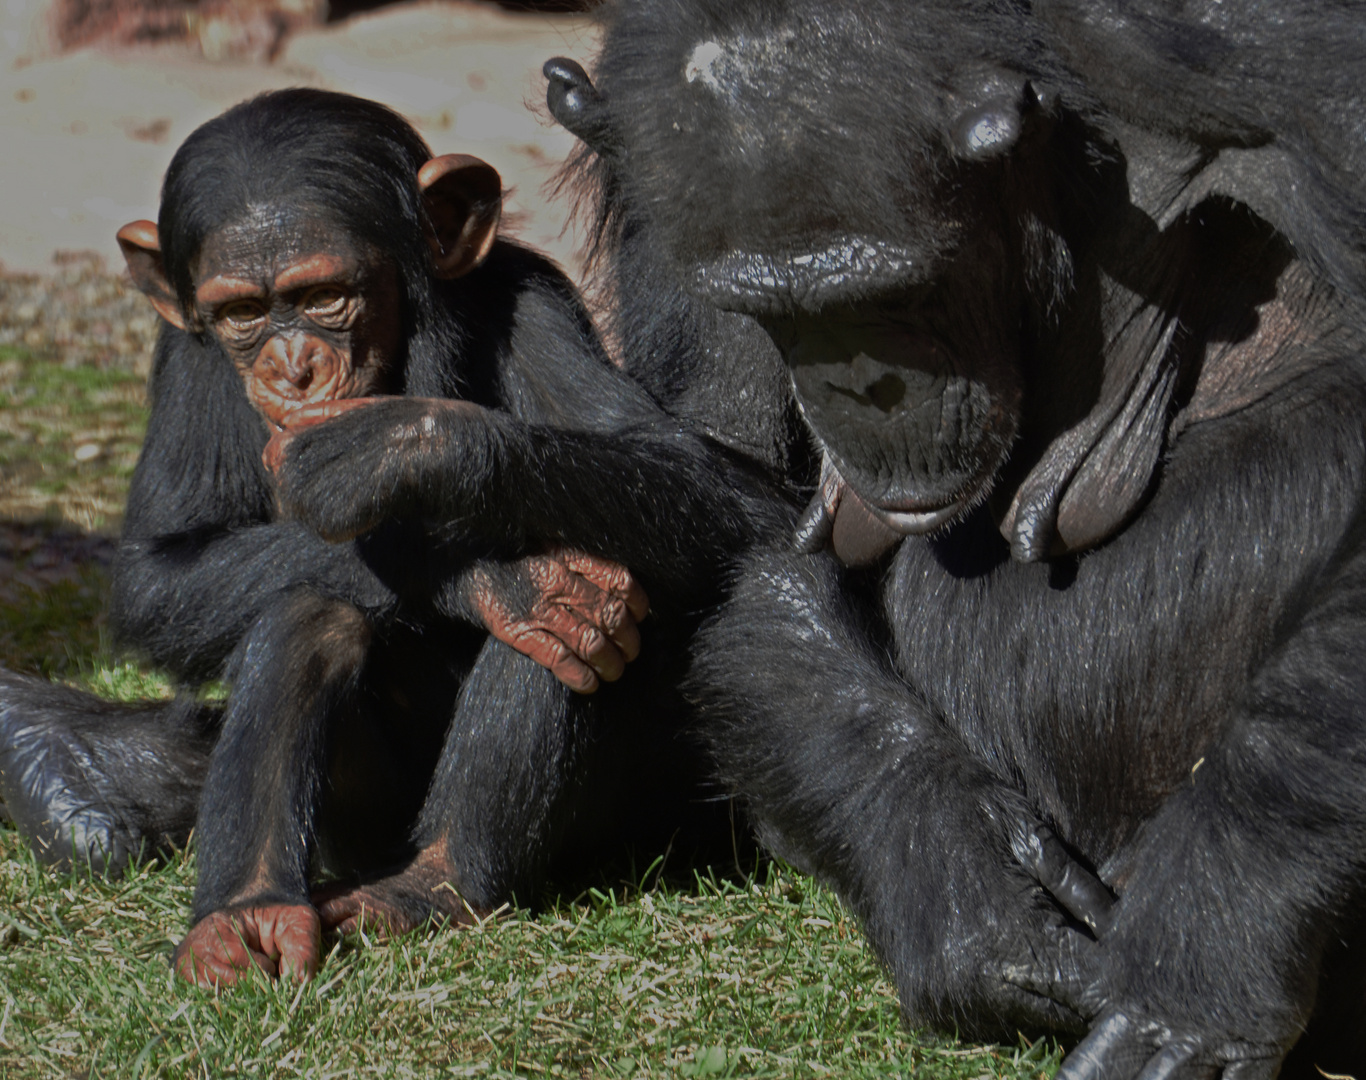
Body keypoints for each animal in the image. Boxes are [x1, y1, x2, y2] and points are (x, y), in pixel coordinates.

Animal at [0, 90, 792, 988]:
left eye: (323, 296)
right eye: (242, 313)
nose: (292, 368)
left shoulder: (531, 300)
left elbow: (717, 487)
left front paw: (397, 449)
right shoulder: (187, 356)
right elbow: (157, 575)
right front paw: (488, 576)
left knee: (596, 590)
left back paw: (438, 878)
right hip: (359, 834)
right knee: (316, 611)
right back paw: (246, 911)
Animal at [549, 0, 1366, 1075]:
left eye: (888, 296)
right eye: (774, 313)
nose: (858, 385)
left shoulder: (1274, 60)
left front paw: (1211, 944)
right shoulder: (649, 158)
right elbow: (729, 517)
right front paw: (963, 882)